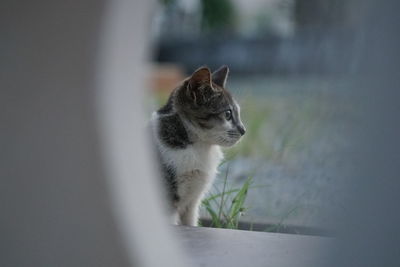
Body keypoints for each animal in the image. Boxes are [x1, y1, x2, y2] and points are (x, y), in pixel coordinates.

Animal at [152, 66, 245, 227]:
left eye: (237, 113)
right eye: (227, 114)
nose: (244, 130)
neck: (199, 147)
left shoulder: (192, 203)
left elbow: (190, 222)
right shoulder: (167, 199)